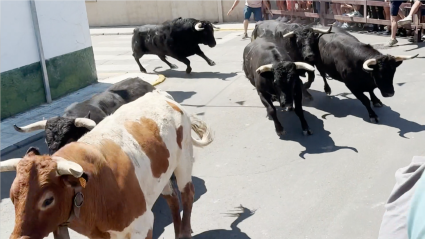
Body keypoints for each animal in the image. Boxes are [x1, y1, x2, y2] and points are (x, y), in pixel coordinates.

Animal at [0, 89, 212, 239]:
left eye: (48, 200)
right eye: (12, 197)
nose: (19, 238)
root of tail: (160, 94)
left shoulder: (142, 225)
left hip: (183, 161)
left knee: (187, 194)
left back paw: (184, 232)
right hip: (160, 175)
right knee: (172, 199)